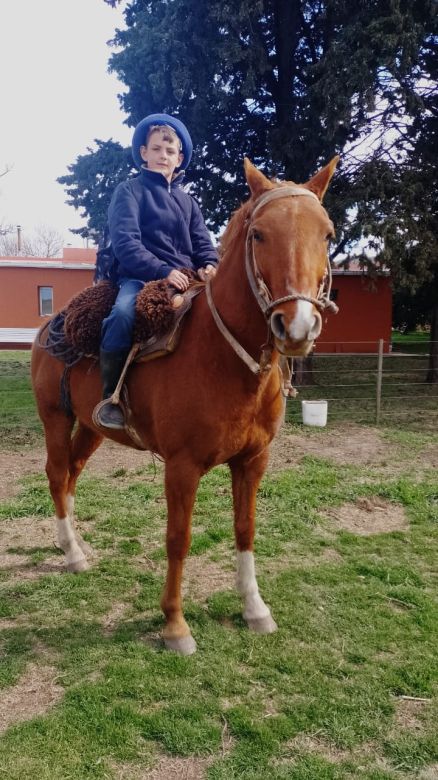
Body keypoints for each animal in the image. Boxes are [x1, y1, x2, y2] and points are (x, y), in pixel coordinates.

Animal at [30, 157, 338, 652]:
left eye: (327, 234)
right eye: (258, 235)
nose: (297, 326)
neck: (222, 357)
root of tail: (51, 325)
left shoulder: (253, 461)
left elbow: (245, 528)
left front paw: (255, 609)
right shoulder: (182, 466)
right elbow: (178, 538)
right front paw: (175, 624)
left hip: (92, 428)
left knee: (71, 473)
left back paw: (68, 539)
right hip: (55, 419)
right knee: (57, 473)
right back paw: (72, 553)